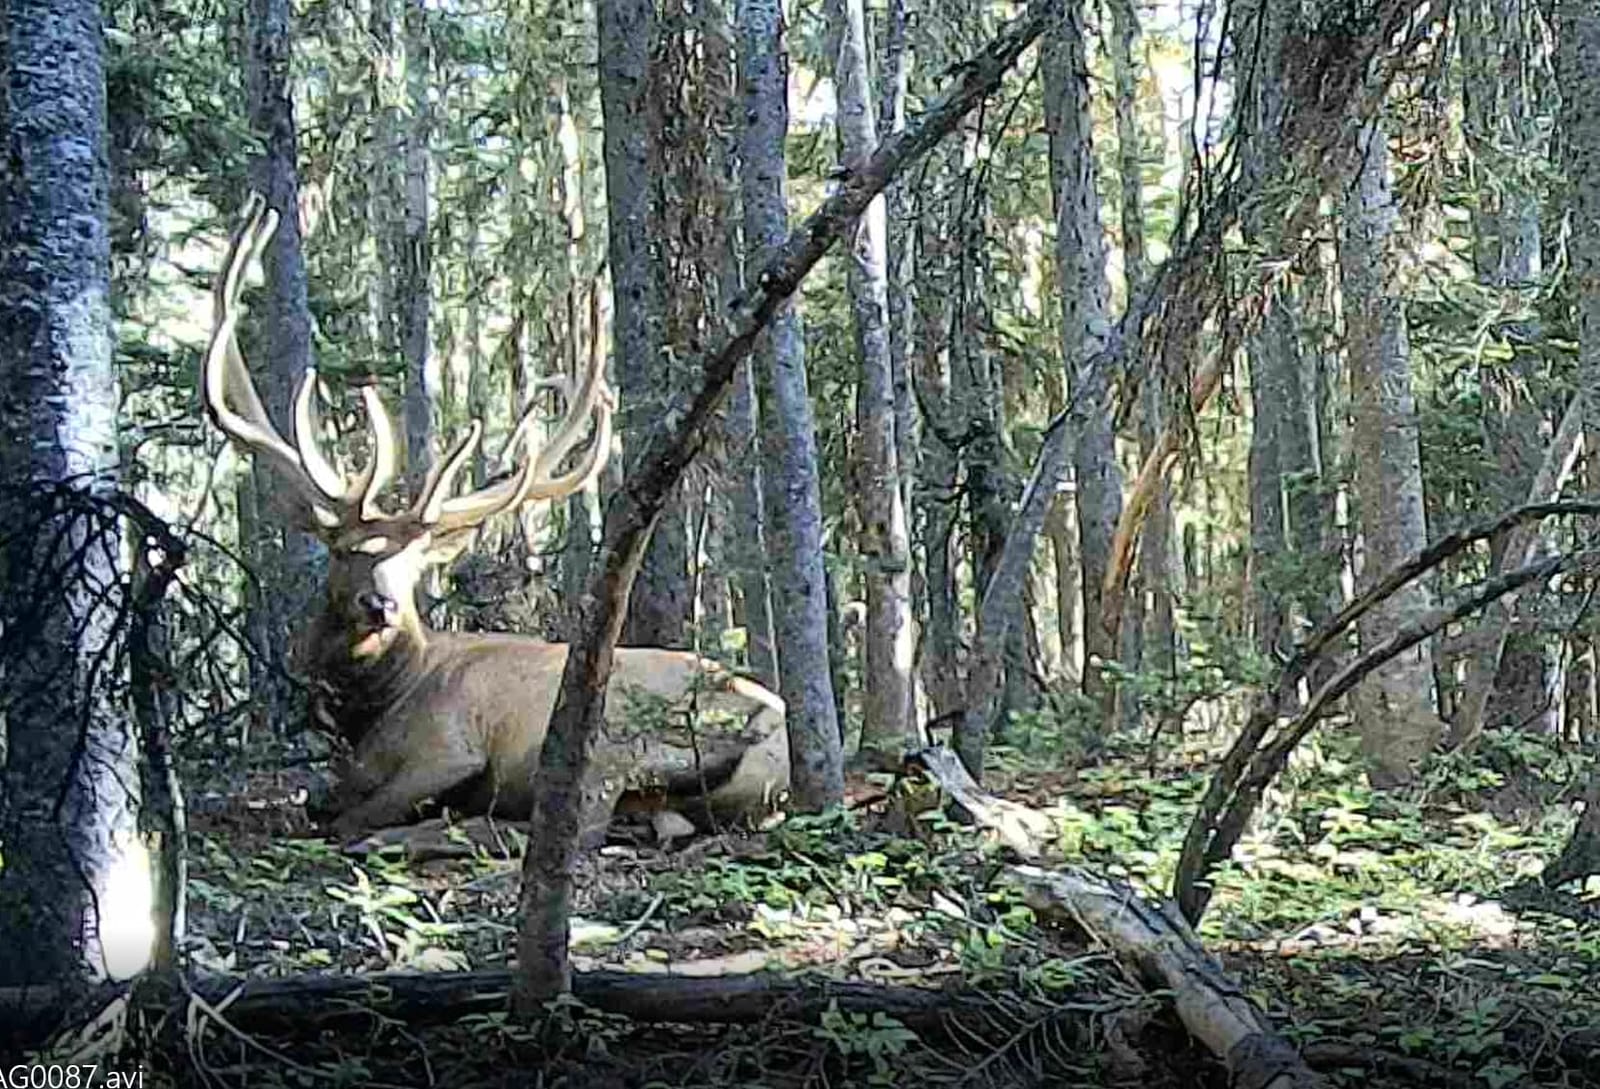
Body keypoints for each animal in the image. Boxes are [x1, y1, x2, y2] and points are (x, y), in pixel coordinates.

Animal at [205, 195, 789, 845]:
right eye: (344, 549)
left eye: (413, 567)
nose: (381, 605)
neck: (375, 708)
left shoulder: (448, 744)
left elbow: (349, 816)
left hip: (617, 738)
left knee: (591, 817)